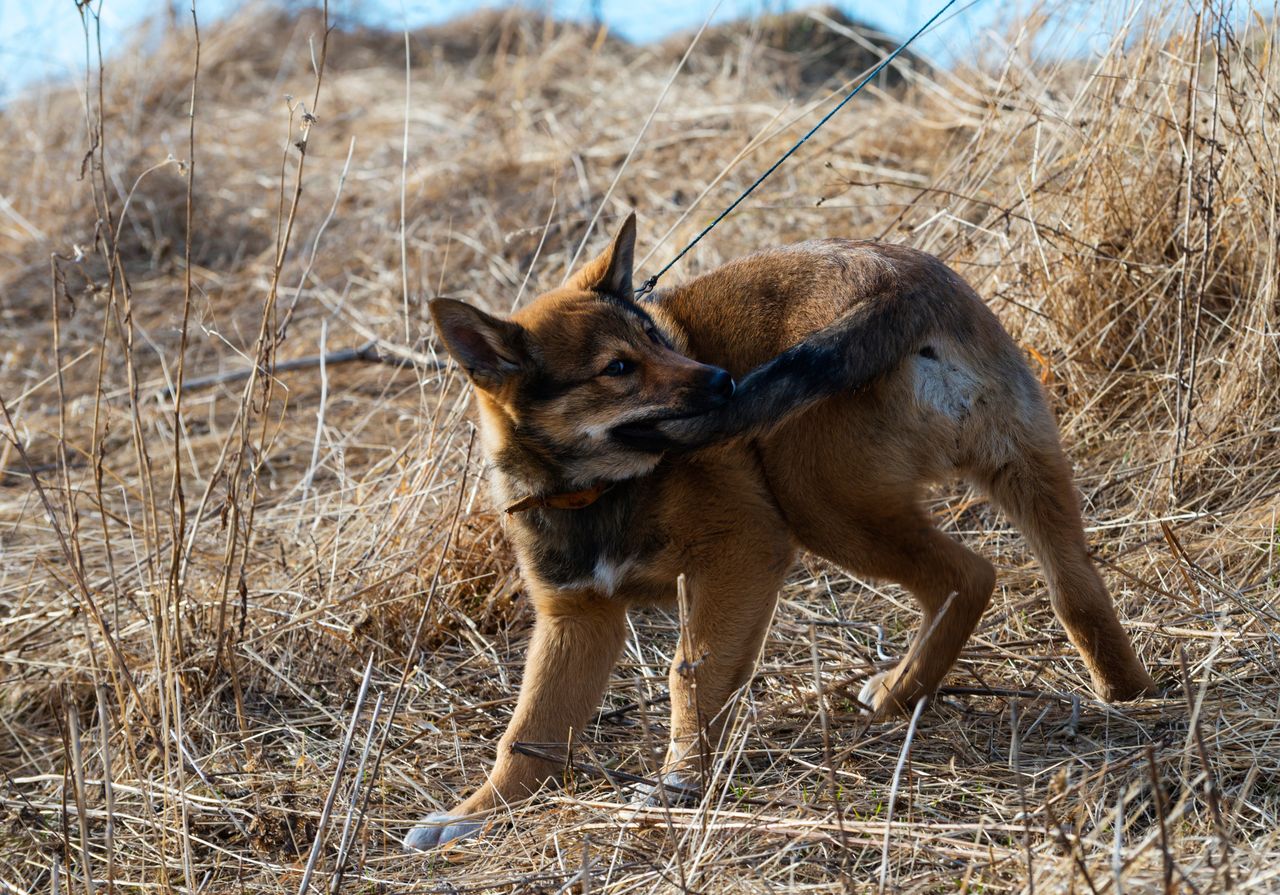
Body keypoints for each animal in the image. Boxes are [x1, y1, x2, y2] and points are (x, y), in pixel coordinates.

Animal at [401, 213, 1162, 850]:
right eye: (617, 368)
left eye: (657, 338)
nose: (722, 381)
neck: (595, 489)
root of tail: (898, 284)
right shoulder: (577, 620)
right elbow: (529, 732)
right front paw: (475, 814)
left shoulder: (742, 554)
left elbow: (691, 674)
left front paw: (680, 781)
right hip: (1024, 467)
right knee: (1071, 589)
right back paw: (1117, 690)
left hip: (818, 501)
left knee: (969, 574)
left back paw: (900, 692)